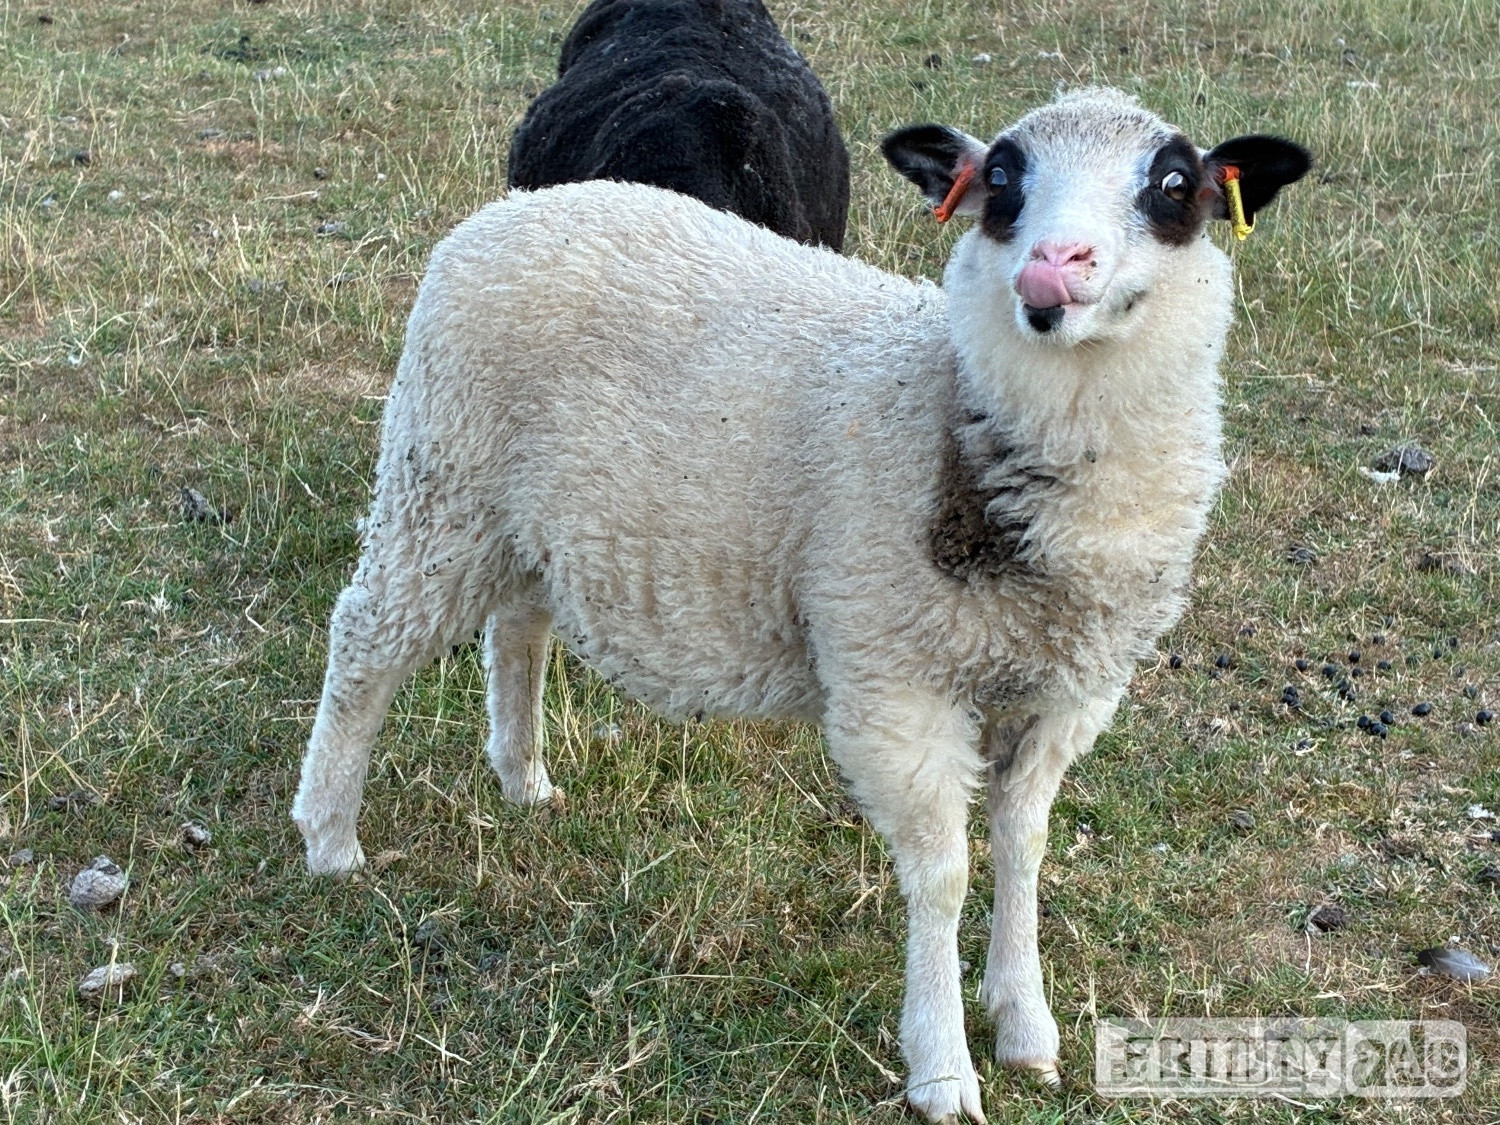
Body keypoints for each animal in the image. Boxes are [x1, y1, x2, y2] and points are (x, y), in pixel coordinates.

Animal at [293, 87, 1310, 1122]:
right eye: (1002, 178)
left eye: (1173, 183)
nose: (1054, 264)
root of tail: (515, 210)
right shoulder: (892, 680)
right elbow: (943, 874)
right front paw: (943, 1066)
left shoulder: (1068, 691)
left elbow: (1023, 846)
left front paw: (1026, 1026)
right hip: (441, 479)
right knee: (366, 642)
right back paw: (329, 834)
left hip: (529, 516)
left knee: (520, 626)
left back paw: (523, 776)